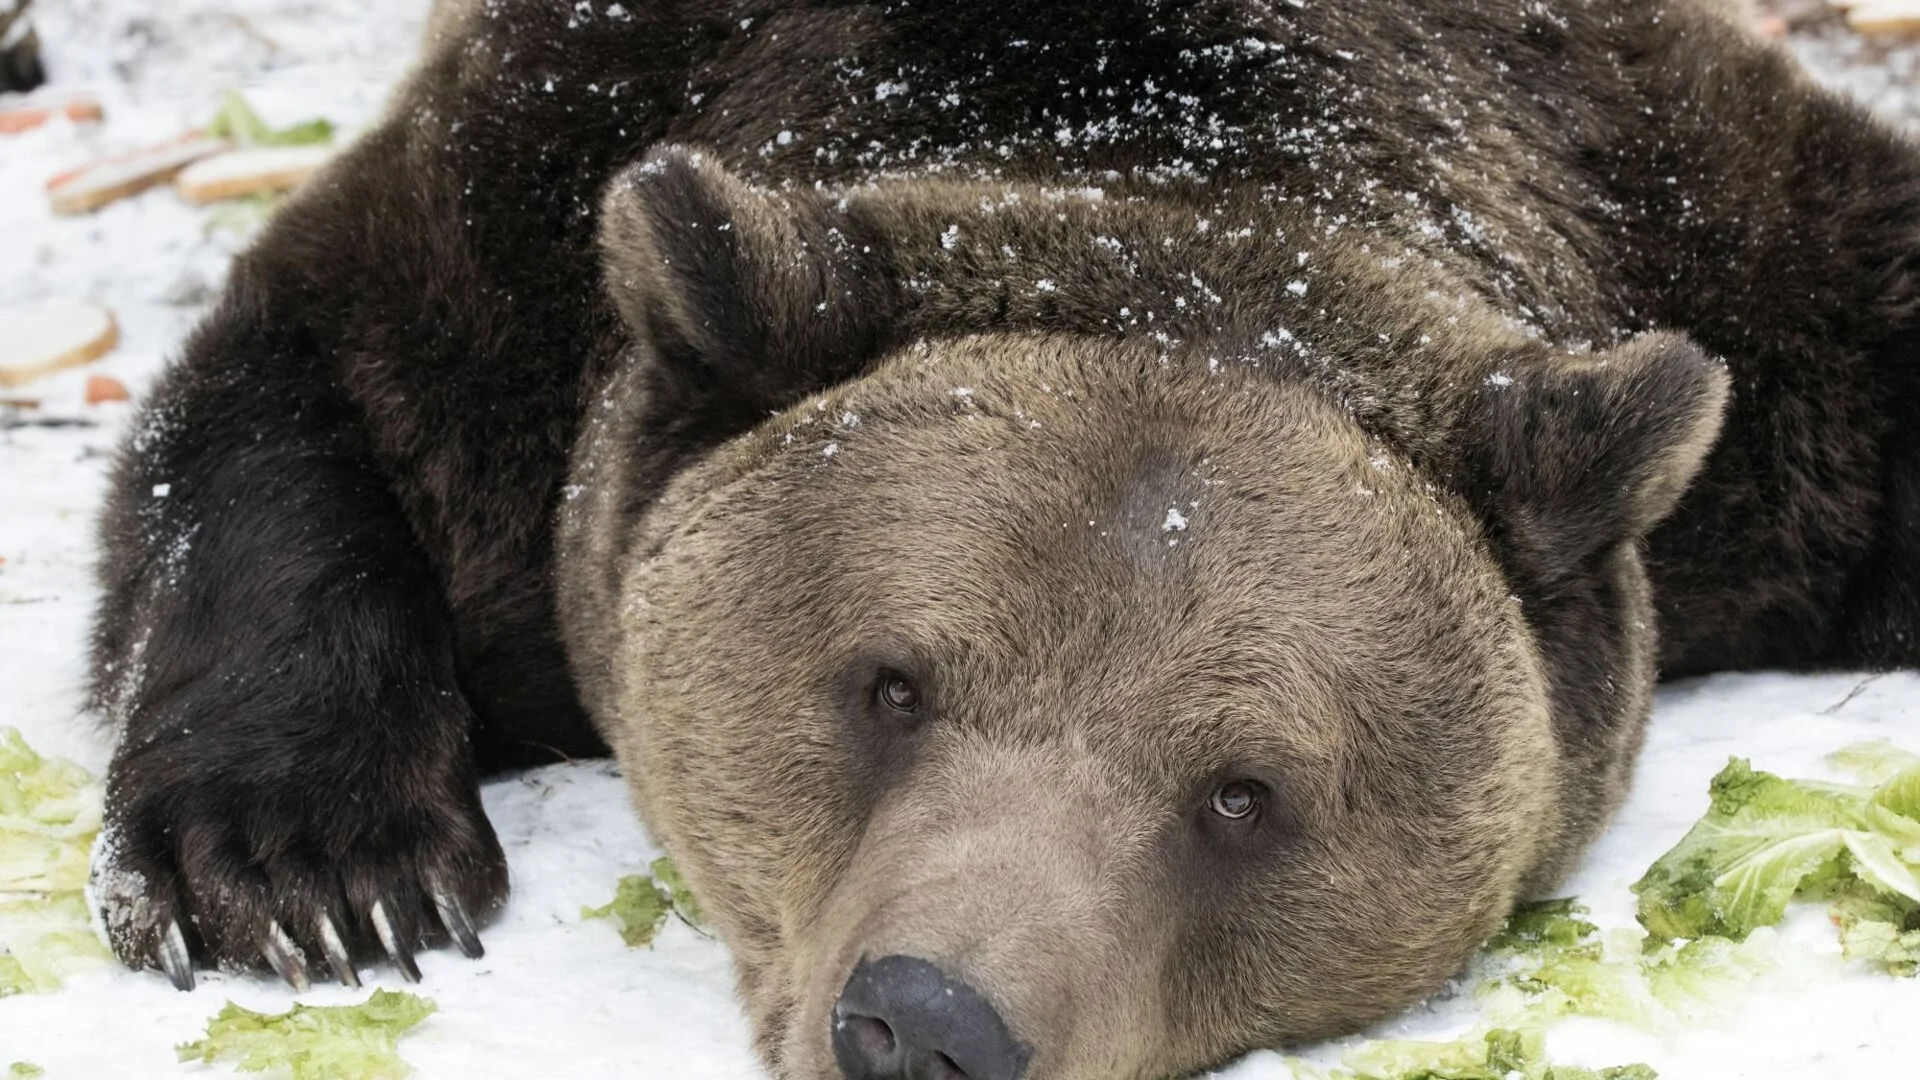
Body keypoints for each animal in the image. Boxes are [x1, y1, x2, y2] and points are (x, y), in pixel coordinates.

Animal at [93, 2, 1920, 1076]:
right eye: (890, 684)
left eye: (1243, 791)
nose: (929, 1026)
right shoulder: (542, 192)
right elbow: (315, 380)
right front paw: (318, 870)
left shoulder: (1730, 249)